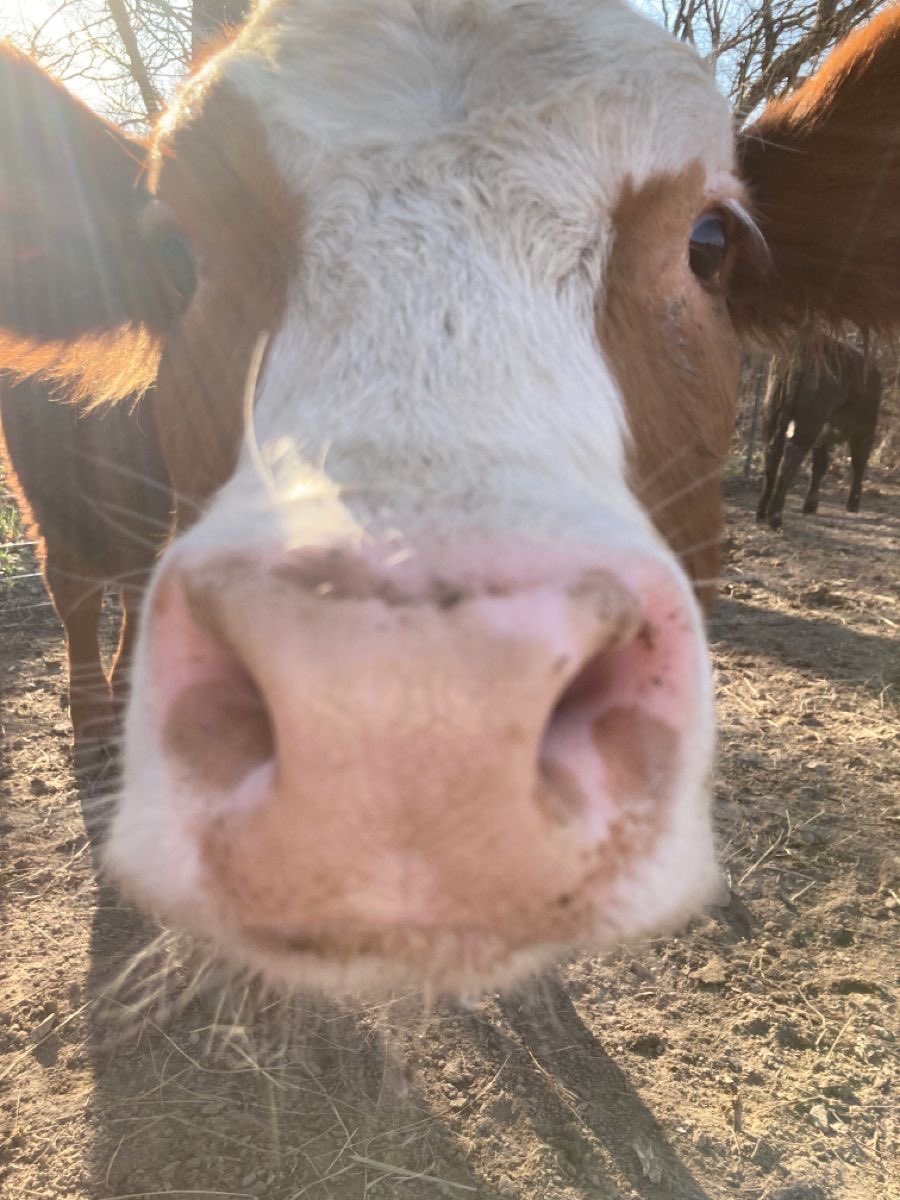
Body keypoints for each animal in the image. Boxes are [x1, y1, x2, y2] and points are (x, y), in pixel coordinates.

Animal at [756, 341, 882, 530]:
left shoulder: (821, 437)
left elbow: (820, 465)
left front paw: (810, 504)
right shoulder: (865, 430)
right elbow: (858, 464)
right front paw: (853, 504)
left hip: (772, 413)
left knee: (772, 453)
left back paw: (761, 512)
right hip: (809, 423)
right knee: (791, 457)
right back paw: (775, 517)